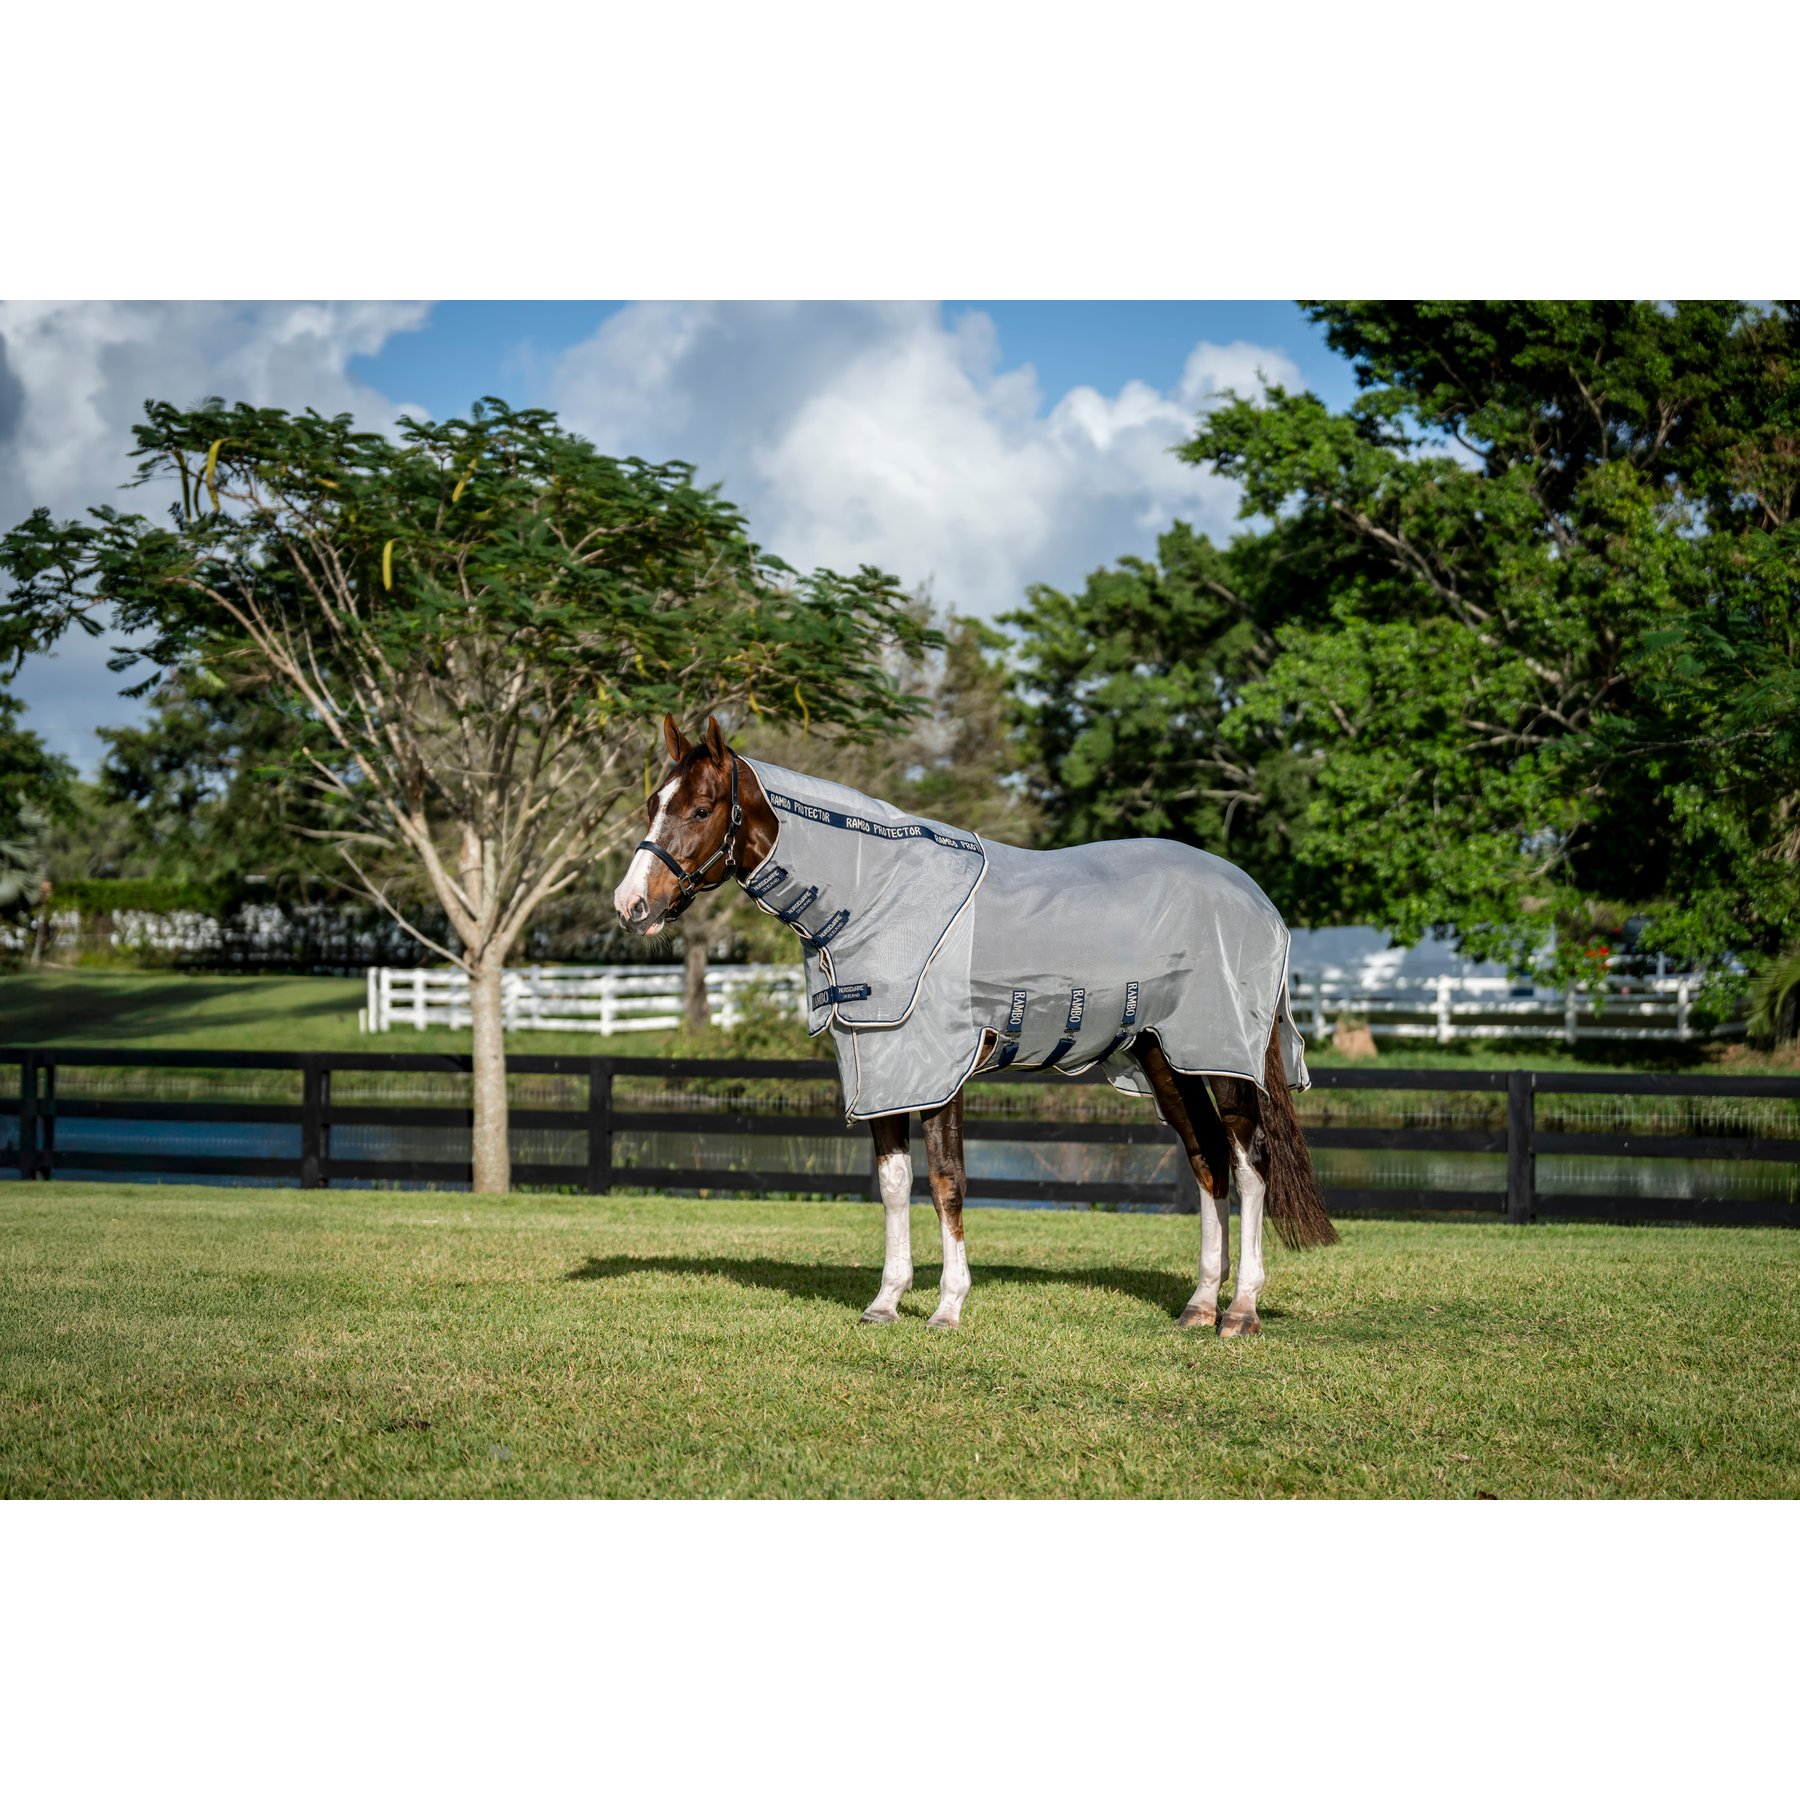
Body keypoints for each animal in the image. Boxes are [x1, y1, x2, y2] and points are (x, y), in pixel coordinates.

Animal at [614, 713, 1336, 1337]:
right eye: (653, 801)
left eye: (700, 809)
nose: (631, 905)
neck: (877, 897)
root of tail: (1258, 901)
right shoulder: (884, 1069)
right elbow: (894, 1184)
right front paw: (886, 1302)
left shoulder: (941, 1072)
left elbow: (947, 1180)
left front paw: (948, 1307)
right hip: (1167, 1059)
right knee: (1207, 1158)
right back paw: (1199, 1306)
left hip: (1225, 1057)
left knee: (1250, 1162)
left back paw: (1240, 1311)